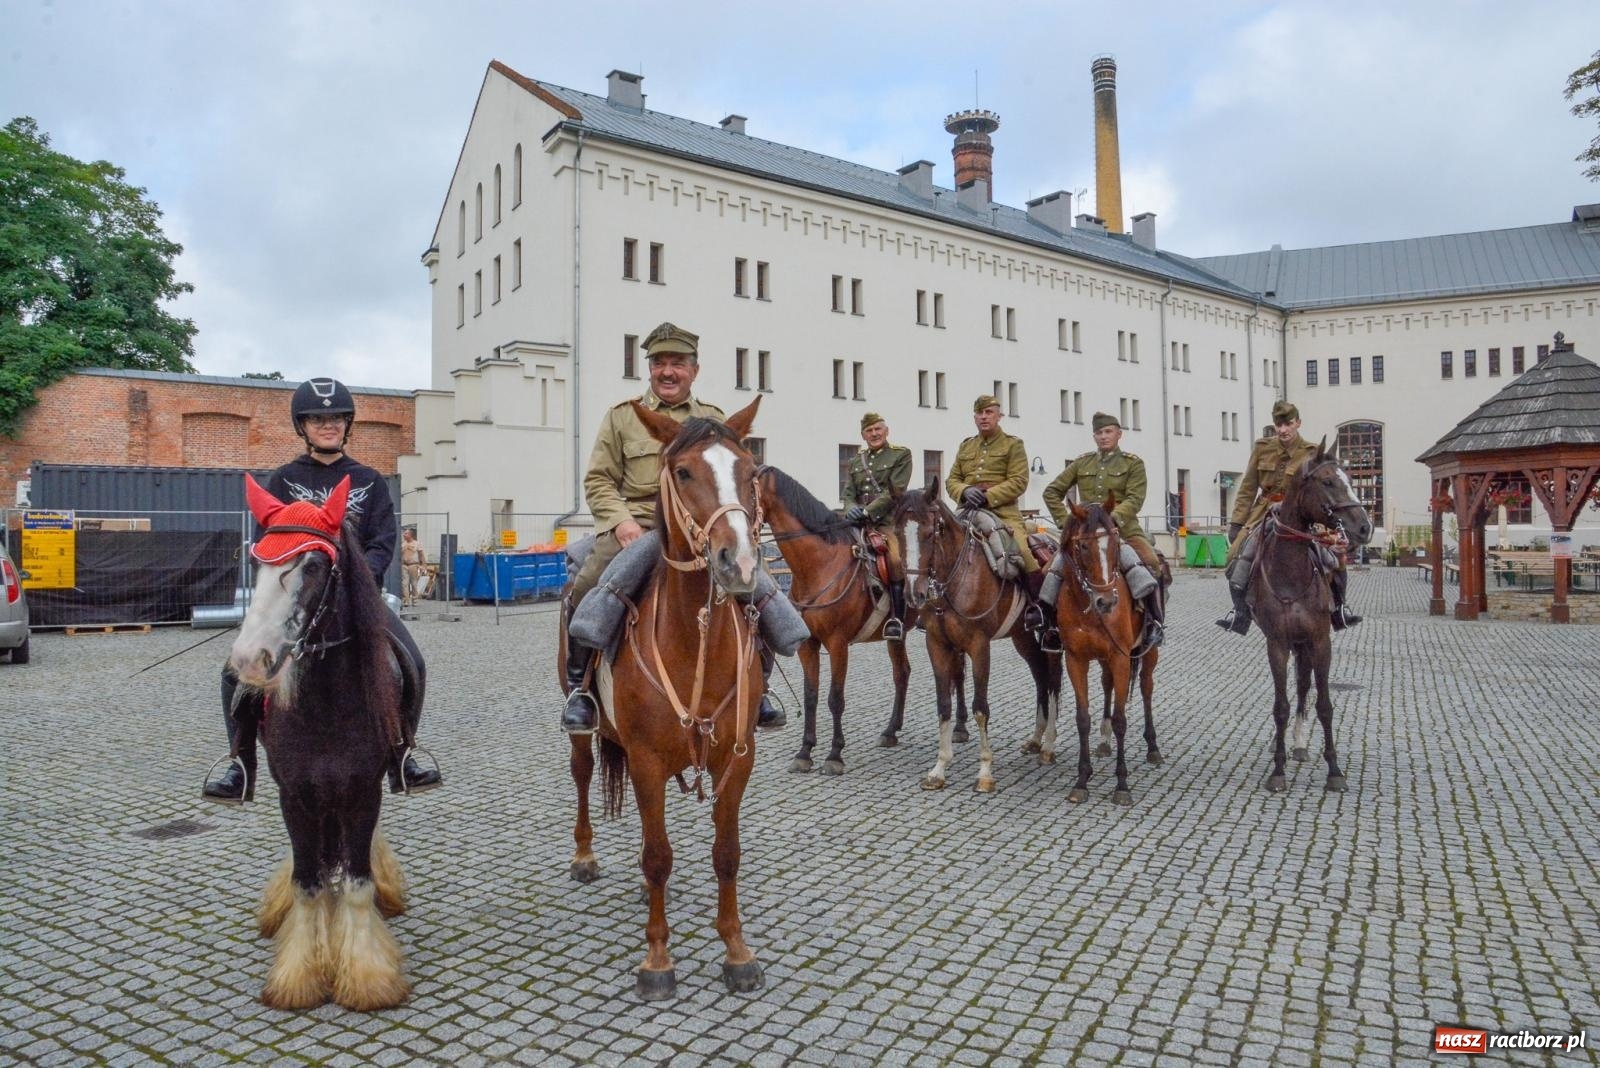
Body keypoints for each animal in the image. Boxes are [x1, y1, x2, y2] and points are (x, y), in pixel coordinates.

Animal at [560, 396, 764, 997]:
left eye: (752, 472)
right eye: (684, 472)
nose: (739, 564)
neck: (694, 642)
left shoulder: (737, 760)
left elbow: (726, 854)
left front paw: (737, 952)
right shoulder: (647, 760)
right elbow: (657, 857)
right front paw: (657, 960)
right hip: (584, 733)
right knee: (583, 775)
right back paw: (584, 856)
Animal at [896, 482, 1056, 793]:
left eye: (931, 532)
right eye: (897, 533)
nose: (914, 594)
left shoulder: (979, 646)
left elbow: (980, 708)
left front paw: (984, 771)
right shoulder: (937, 645)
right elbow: (943, 705)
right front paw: (939, 768)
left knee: (1054, 681)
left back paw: (1049, 746)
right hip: (1023, 638)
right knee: (1041, 676)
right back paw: (1036, 739)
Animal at [1248, 441, 1376, 793]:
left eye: (1352, 479)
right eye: (1328, 482)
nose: (1364, 527)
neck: (1290, 571)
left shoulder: (1320, 640)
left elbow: (1325, 705)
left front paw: (1334, 770)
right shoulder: (1277, 643)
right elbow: (1280, 707)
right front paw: (1278, 771)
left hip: (1306, 641)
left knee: (1305, 685)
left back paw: (1301, 742)